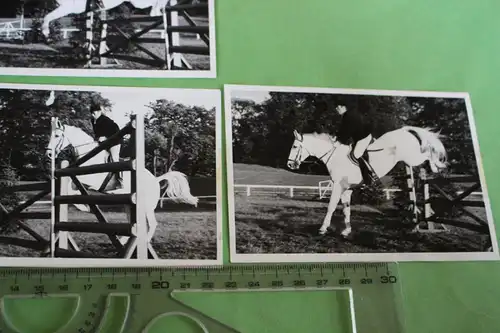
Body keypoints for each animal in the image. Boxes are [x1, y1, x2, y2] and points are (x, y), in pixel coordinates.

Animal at [44, 118, 197, 243]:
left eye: (56, 136)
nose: (49, 154)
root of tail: (155, 179)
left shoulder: (90, 180)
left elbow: (72, 186)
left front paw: (85, 207)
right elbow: (72, 188)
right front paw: (84, 206)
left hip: (146, 206)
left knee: (152, 224)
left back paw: (143, 241)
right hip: (130, 205)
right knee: (134, 224)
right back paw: (124, 239)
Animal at [288, 126, 448, 237]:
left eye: (295, 146)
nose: (290, 165)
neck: (334, 157)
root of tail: (403, 131)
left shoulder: (338, 186)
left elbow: (331, 207)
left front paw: (322, 229)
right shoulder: (346, 189)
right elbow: (346, 209)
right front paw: (347, 231)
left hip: (413, 157)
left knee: (428, 153)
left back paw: (437, 166)